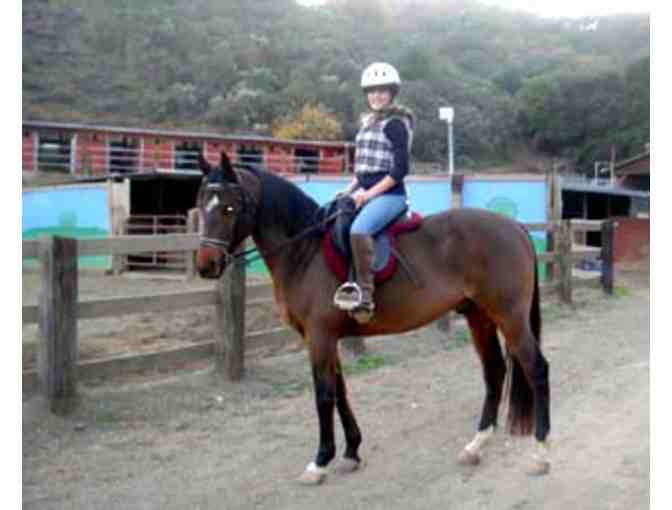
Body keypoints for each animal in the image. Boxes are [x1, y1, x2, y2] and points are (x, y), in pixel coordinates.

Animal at [195, 152, 551, 484]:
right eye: (200, 205)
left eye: (229, 208)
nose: (206, 265)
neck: (305, 251)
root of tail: (515, 227)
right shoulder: (327, 337)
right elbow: (340, 392)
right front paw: (351, 452)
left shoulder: (319, 335)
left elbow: (323, 395)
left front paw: (320, 461)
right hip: (480, 317)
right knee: (494, 371)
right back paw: (476, 446)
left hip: (510, 316)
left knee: (536, 368)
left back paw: (540, 454)